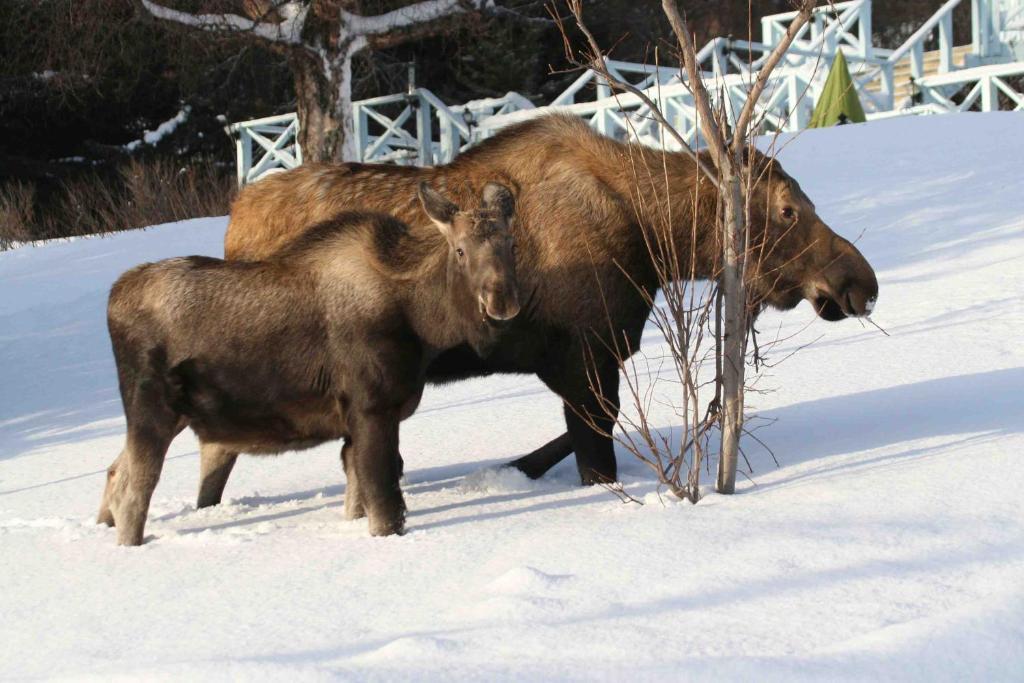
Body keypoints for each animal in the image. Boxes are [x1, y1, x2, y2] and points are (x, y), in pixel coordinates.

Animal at [96, 181, 520, 544]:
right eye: (460, 250)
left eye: (511, 245)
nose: (501, 302)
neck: (423, 323)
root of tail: (113, 297)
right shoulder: (371, 408)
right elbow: (386, 508)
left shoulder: (359, 422)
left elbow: (356, 499)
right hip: (151, 410)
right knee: (134, 490)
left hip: (172, 415)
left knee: (116, 473)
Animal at [226, 114, 880, 491]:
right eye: (789, 210)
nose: (860, 282)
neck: (654, 241)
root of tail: (233, 223)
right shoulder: (586, 353)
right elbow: (596, 452)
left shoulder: (578, 358)